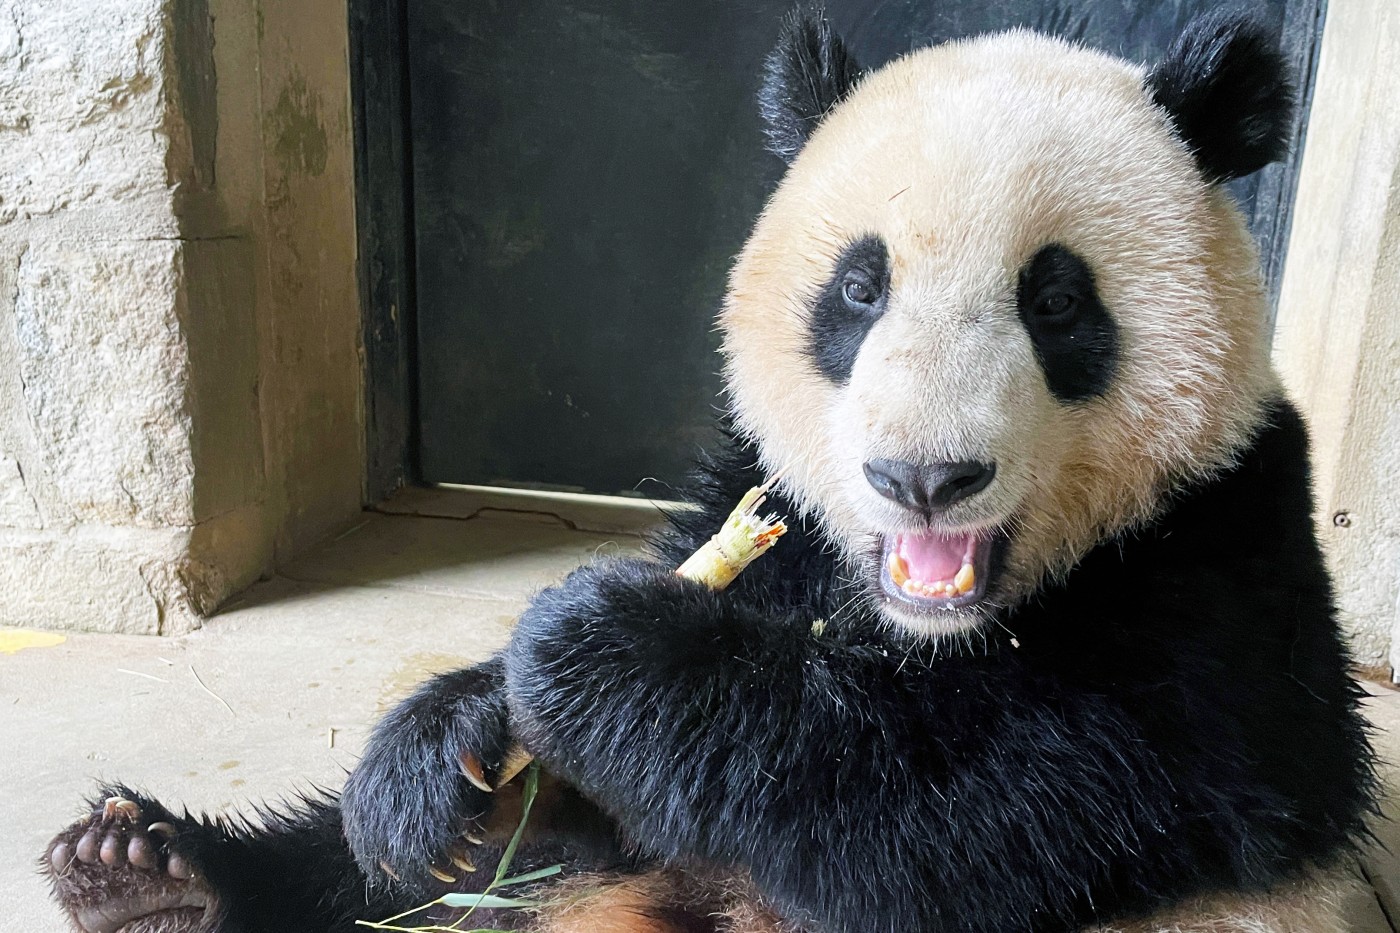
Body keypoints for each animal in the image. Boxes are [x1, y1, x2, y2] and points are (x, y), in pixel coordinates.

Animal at [38, 9, 1372, 930]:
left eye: (1056, 301)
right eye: (857, 288)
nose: (923, 479)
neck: (913, 629)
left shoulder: (1225, 574)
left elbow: (1023, 794)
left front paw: (603, 654)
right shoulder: (767, 506)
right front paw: (451, 743)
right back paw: (153, 874)